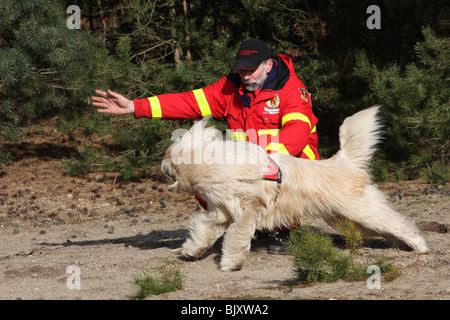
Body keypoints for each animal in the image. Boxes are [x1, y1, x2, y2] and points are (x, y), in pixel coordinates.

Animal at [161, 106, 428, 272]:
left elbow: (237, 236)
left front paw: (231, 263)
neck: (209, 162)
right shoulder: (220, 211)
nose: (164, 167)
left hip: (361, 209)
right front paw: (191, 250)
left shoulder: (247, 210)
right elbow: (204, 230)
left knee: (396, 222)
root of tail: (342, 162)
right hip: (343, 216)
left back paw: (419, 246)